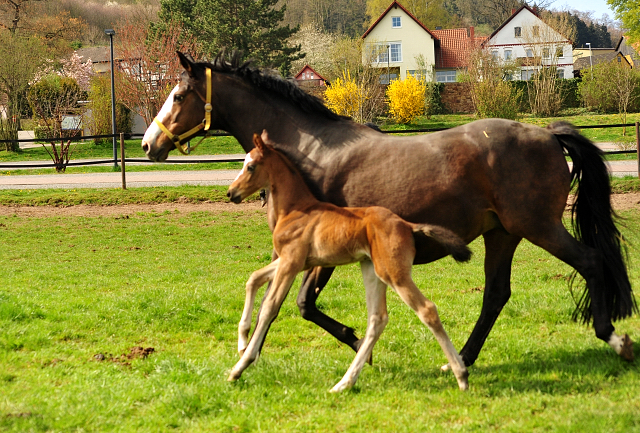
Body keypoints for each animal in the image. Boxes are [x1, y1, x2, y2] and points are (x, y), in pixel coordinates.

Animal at [225, 130, 470, 390]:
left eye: (250, 166)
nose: (231, 193)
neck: (296, 209)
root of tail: (406, 225)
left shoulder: (291, 262)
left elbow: (269, 307)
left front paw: (240, 366)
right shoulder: (294, 261)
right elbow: (253, 278)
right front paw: (242, 341)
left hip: (393, 273)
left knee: (427, 310)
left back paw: (461, 375)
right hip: (372, 270)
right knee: (377, 319)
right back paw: (344, 383)